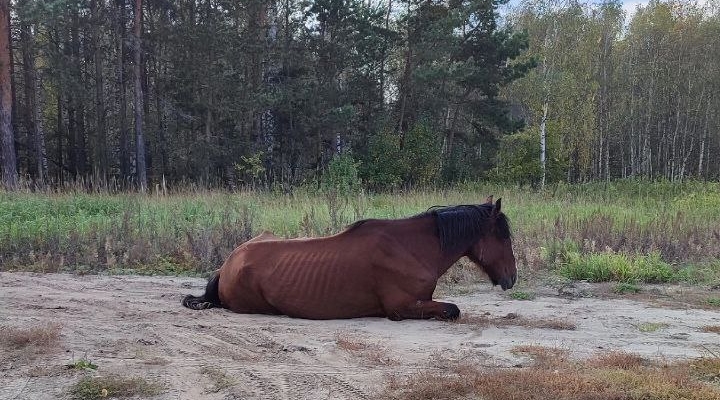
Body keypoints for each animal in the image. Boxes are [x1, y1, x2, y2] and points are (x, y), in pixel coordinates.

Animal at [183, 197, 516, 322]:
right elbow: (452, 310)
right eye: (503, 237)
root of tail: (229, 263)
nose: (512, 277)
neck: (411, 248)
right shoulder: (401, 307)